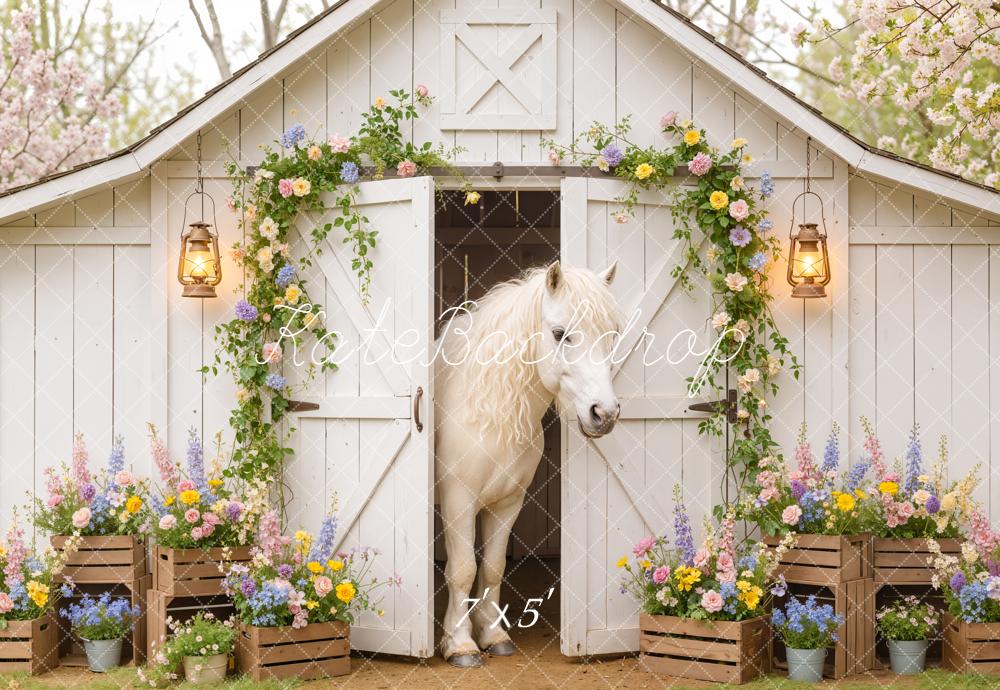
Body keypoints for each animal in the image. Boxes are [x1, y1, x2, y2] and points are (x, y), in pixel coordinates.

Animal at [434, 260, 621, 667]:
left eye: (612, 335)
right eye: (560, 334)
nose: (604, 414)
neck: (488, 413)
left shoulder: (508, 503)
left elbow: (492, 567)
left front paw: (492, 635)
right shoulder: (458, 501)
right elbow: (462, 569)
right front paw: (460, 644)